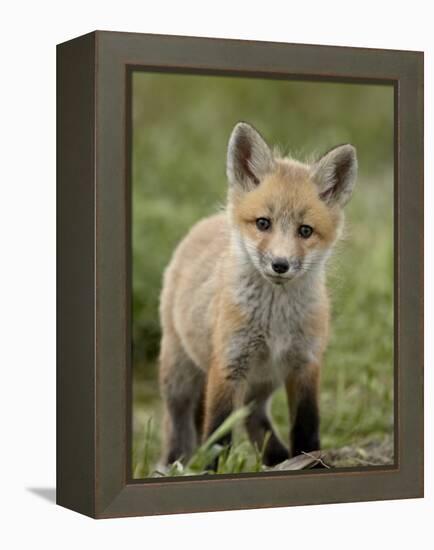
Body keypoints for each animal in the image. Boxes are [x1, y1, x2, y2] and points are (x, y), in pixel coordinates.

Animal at [158, 122, 358, 470]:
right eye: (263, 223)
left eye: (305, 231)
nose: (280, 264)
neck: (275, 320)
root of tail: (204, 223)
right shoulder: (228, 365)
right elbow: (217, 435)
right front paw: (211, 472)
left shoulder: (305, 364)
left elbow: (306, 428)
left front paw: (310, 460)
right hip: (180, 375)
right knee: (179, 423)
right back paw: (173, 465)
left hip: (262, 384)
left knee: (255, 419)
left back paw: (277, 459)